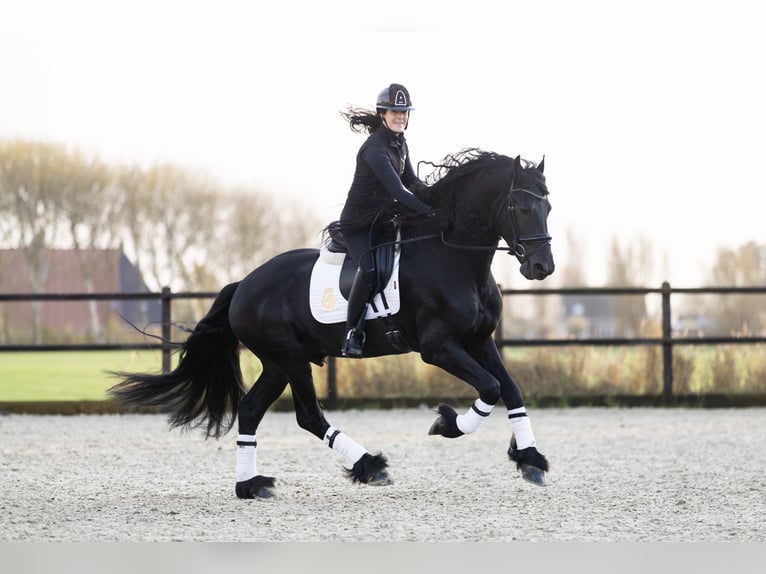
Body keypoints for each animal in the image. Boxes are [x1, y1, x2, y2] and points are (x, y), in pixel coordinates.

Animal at [109, 148, 560, 500]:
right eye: (521, 208)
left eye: (548, 207)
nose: (542, 267)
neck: (452, 257)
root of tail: (242, 286)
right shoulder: (439, 348)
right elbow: (490, 387)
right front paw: (447, 424)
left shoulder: (480, 341)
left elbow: (509, 388)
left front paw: (530, 459)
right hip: (290, 360)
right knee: (309, 416)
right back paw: (370, 466)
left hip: (277, 364)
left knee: (251, 410)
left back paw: (251, 485)